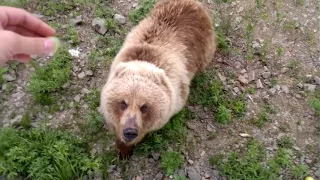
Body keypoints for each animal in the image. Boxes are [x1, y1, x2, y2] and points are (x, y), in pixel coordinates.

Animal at [99, 0, 216, 158]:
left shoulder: (177, 93)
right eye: (122, 103)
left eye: (144, 107)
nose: (130, 131)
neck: (145, 62)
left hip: (204, 47)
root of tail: (194, 3)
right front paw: (122, 148)